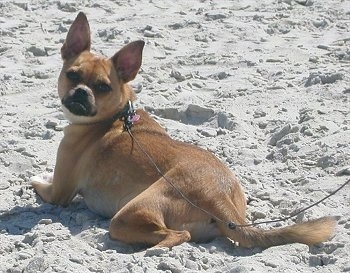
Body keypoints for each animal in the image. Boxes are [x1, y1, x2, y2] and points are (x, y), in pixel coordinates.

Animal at [32, 11, 336, 248]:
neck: (116, 116)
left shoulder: (58, 192)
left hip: (128, 214)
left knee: (176, 235)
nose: (81, 93)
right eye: (72, 75)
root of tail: (219, 197)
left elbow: (42, 185)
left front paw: (38, 178)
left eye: (103, 87)